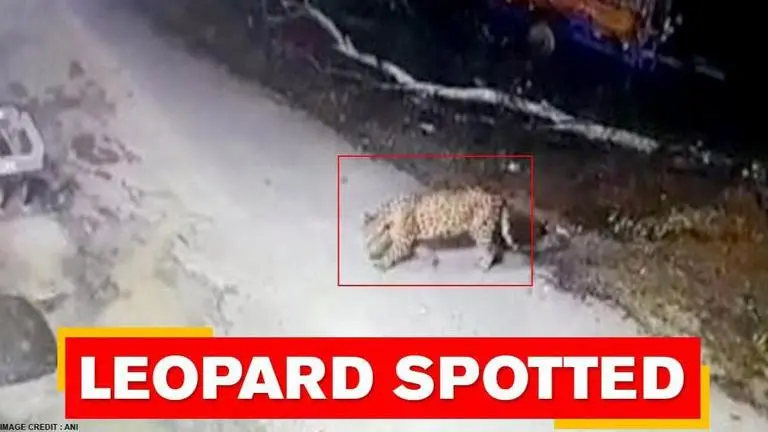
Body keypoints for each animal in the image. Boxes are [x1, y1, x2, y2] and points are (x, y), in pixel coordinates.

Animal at [361, 186, 518, 271]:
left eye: (368, 236)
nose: (366, 247)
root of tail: (498, 196)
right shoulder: (412, 239)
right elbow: (422, 248)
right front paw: (433, 259)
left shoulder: (403, 241)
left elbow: (391, 253)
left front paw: (380, 263)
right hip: (486, 229)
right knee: (496, 244)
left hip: (481, 230)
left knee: (490, 248)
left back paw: (484, 265)